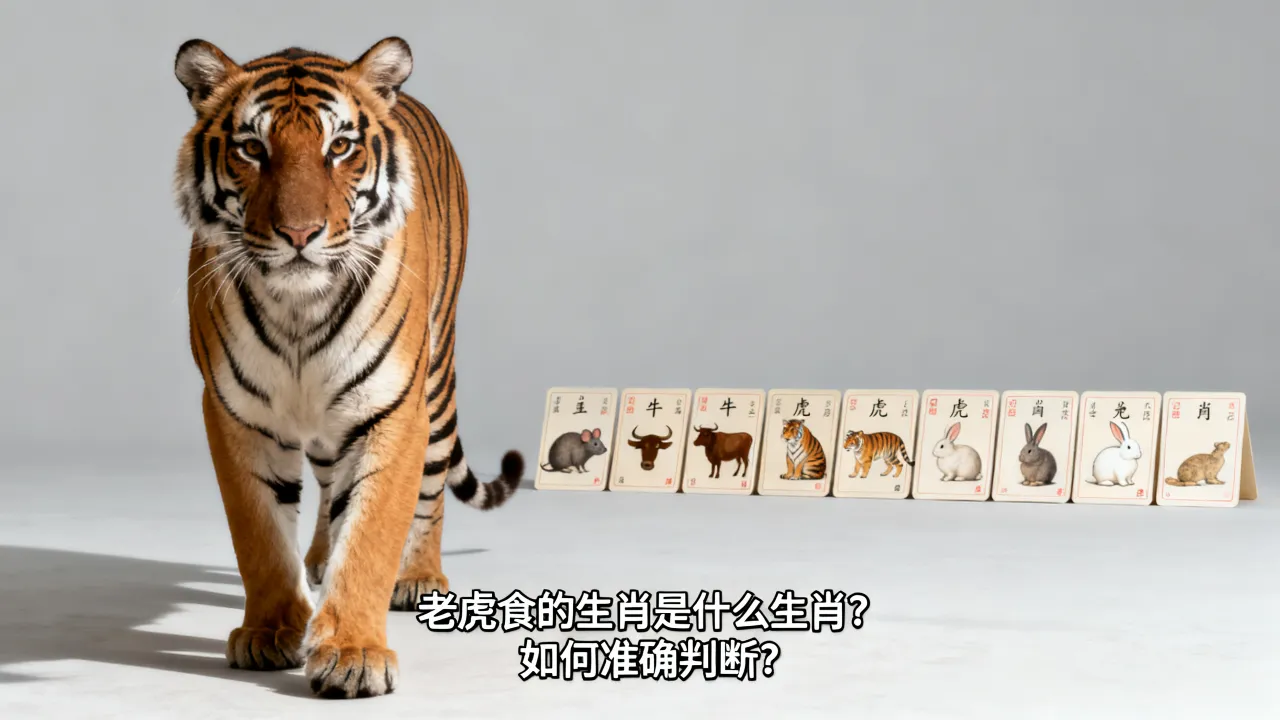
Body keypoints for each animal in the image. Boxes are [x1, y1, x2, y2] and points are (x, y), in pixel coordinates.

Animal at [173, 37, 523, 699]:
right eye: (253, 148)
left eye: (339, 147)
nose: (299, 233)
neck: (298, 311)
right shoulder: (235, 412)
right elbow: (259, 533)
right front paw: (270, 632)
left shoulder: (393, 407)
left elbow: (372, 532)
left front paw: (354, 653)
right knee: (328, 485)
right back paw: (316, 560)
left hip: (436, 383)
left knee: (431, 487)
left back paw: (419, 578)